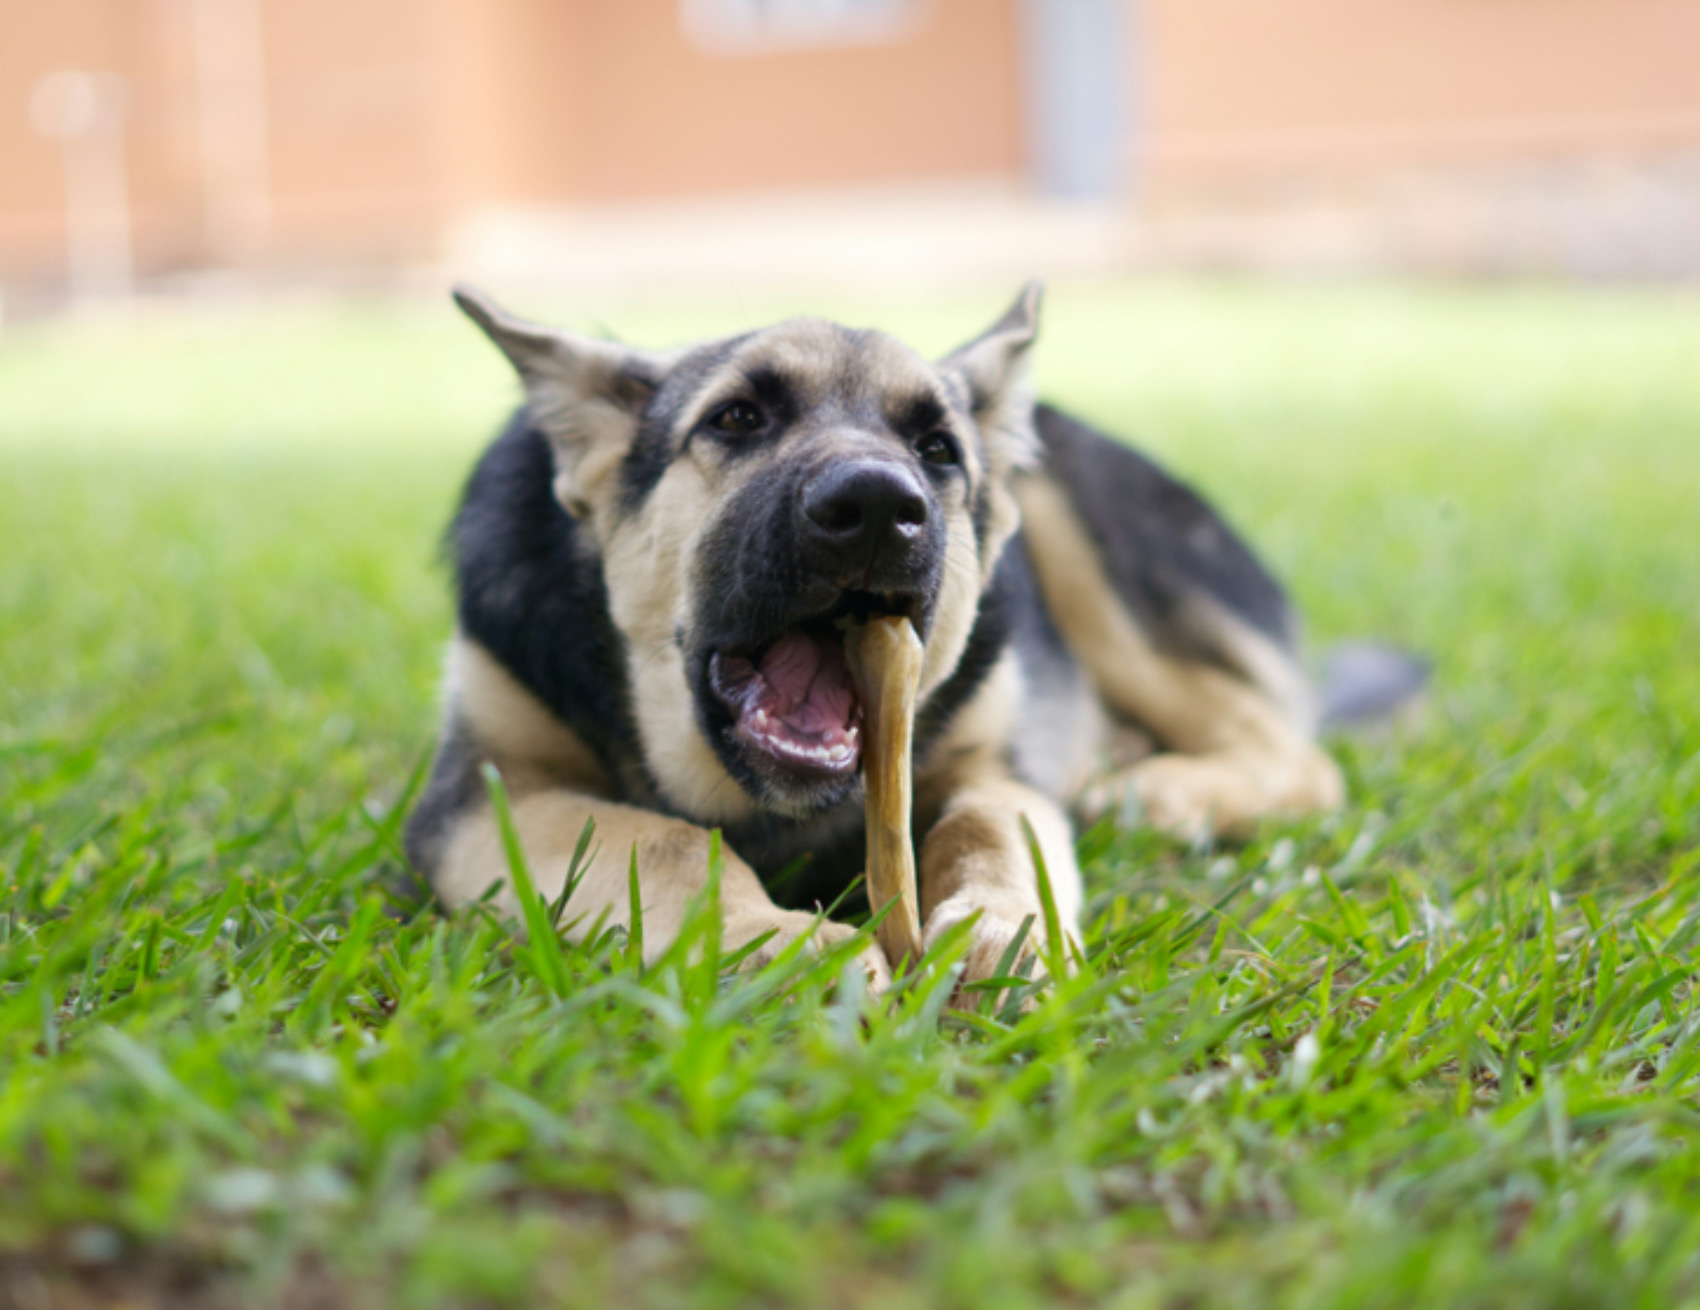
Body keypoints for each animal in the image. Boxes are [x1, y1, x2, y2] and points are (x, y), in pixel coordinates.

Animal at [401, 283, 1421, 985]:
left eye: (937, 451)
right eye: (737, 417)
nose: (875, 508)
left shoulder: (993, 764)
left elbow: (991, 824)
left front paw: (1004, 931)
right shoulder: (488, 792)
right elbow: (665, 841)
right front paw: (780, 945)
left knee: (1297, 753)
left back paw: (1159, 789)